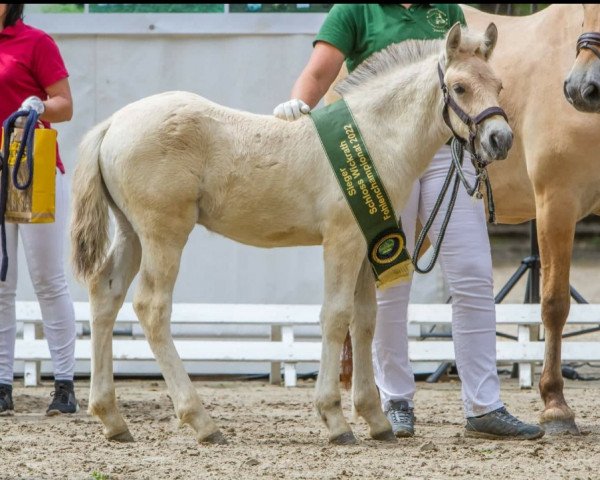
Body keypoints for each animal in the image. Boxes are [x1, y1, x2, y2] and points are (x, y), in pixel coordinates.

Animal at [70, 25, 508, 446]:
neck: (373, 136)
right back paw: (202, 422)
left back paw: (112, 419)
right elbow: (336, 316)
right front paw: (335, 421)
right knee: (152, 306)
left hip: (132, 234)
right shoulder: (342, 241)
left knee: (106, 294)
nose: (500, 139)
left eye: (499, 85)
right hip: (164, 235)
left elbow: (365, 321)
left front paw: (376, 419)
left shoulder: (369, 242)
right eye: (459, 87)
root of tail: (113, 124)